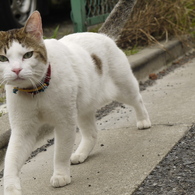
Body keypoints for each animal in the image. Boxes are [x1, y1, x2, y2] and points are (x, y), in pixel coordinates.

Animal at [0, 9, 151, 195]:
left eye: (27, 55)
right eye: (3, 58)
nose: (16, 70)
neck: (35, 91)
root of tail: (102, 34)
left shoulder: (64, 122)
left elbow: (61, 152)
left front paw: (60, 175)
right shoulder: (23, 130)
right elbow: (11, 160)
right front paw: (10, 188)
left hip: (123, 88)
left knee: (137, 99)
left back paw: (143, 120)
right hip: (82, 107)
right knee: (91, 133)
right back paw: (81, 154)